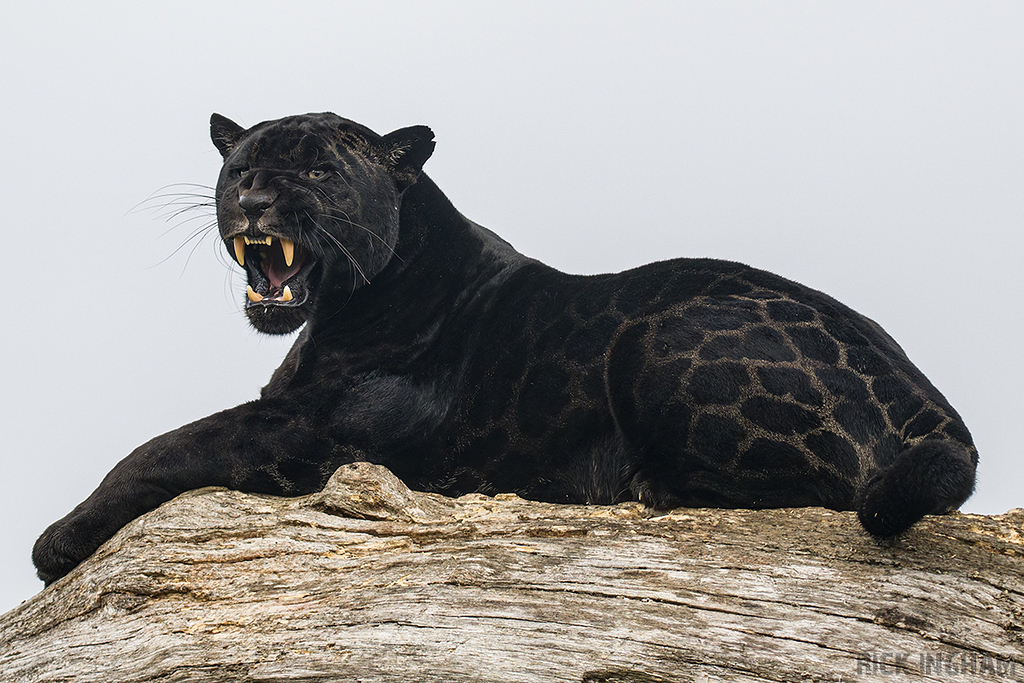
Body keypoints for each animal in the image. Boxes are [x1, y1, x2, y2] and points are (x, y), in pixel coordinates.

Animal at [32, 112, 977, 585]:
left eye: (318, 172)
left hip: (654, 332)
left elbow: (165, 444)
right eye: (240, 169)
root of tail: (935, 403)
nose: (253, 201)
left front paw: (56, 541)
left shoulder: (303, 429)